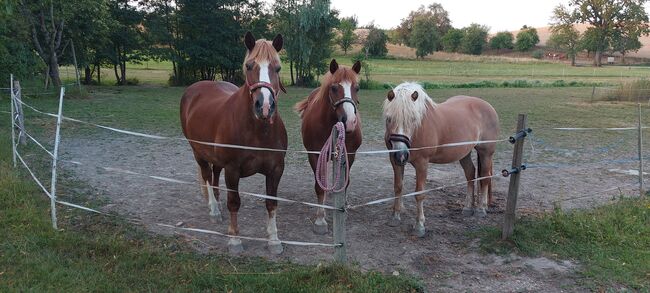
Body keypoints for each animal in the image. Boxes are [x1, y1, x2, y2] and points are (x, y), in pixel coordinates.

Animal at [180, 31, 286, 253]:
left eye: (278, 67)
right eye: (249, 66)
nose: (264, 107)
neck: (258, 131)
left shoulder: (276, 169)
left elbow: (271, 203)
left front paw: (274, 240)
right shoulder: (232, 170)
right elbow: (234, 202)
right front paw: (235, 240)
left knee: (213, 176)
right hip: (198, 153)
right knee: (207, 176)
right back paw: (214, 210)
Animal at [294, 58, 362, 234]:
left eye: (357, 88)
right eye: (334, 88)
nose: (350, 121)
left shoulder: (349, 155)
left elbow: (346, 183)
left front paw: (343, 209)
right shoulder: (315, 155)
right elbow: (319, 187)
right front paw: (320, 220)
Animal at [382, 82, 498, 237]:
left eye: (413, 119)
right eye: (389, 118)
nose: (401, 154)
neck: (418, 130)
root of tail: (488, 106)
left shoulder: (422, 163)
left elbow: (419, 193)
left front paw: (419, 226)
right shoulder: (394, 161)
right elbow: (398, 187)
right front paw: (395, 217)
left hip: (486, 153)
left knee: (485, 178)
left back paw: (481, 209)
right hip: (464, 153)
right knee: (470, 174)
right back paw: (468, 208)